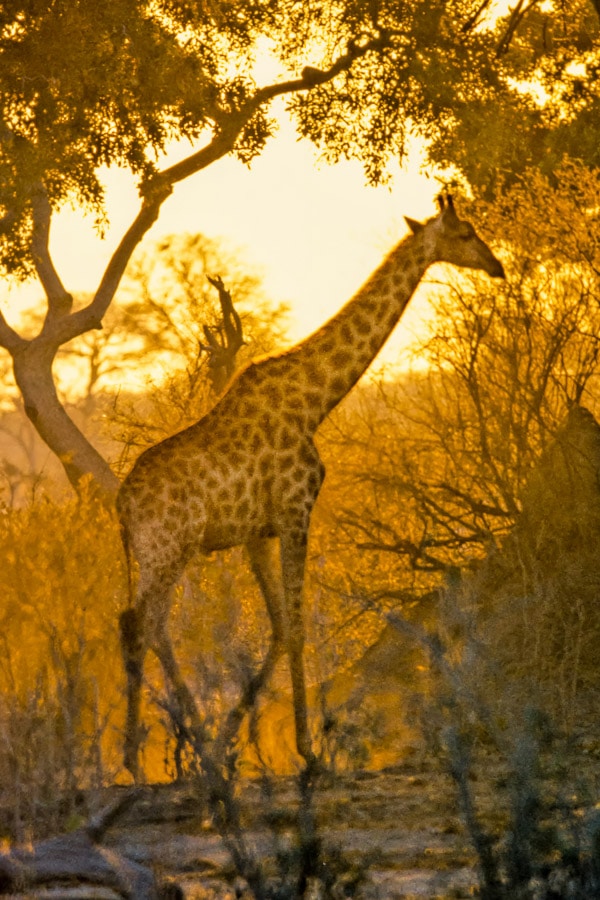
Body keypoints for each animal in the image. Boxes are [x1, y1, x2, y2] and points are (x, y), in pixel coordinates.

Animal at [117, 195, 504, 779]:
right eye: (464, 233)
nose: (497, 266)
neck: (315, 401)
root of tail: (120, 504)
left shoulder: (258, 532)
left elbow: (279, 627)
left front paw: (234, 740)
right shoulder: (296, 511)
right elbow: (298, 628)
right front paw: (307, 751)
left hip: (157, 554)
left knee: (142, 624)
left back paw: (177, 751)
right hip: (170, 548)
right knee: (144, 624)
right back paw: (144, 762)